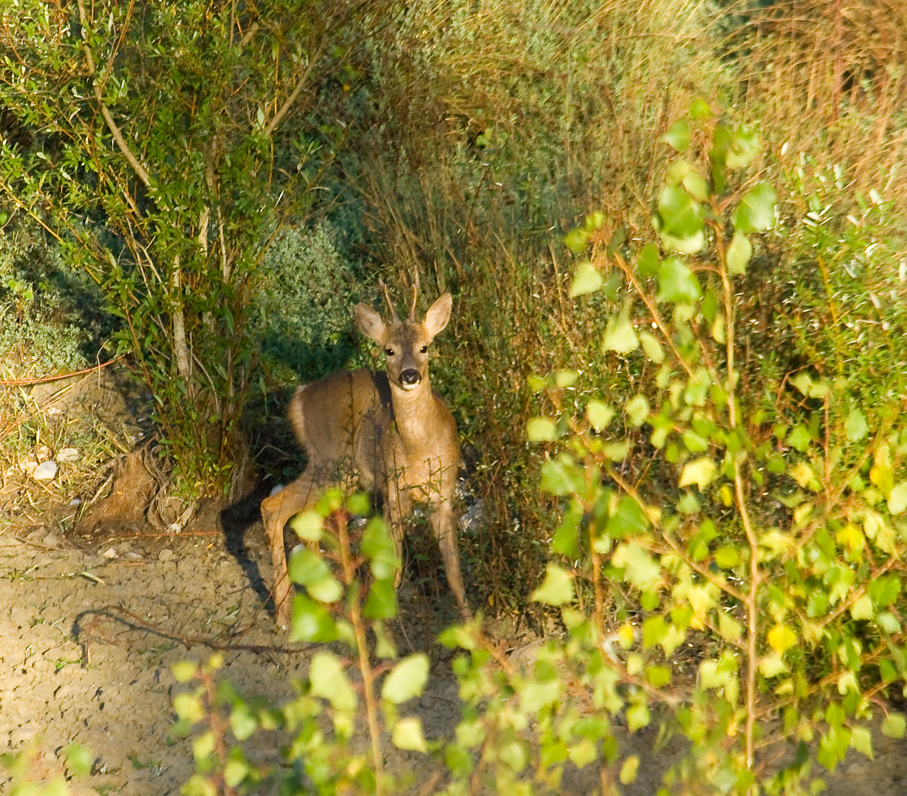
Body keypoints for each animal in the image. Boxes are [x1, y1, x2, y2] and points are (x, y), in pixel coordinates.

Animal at [260, 274, 472, 628]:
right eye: (389, 350)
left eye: (424, 346)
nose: (409, 375)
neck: (420, 449)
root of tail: (300, 397)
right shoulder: (393, 490)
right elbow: (393, 565)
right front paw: (386, 621)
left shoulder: (443, 493)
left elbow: (455, 573)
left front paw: (472, 627)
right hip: (330, 462)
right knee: (273, 507)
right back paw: (284, 616)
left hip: (340, 474)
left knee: (302, 518)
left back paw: (322, 604)